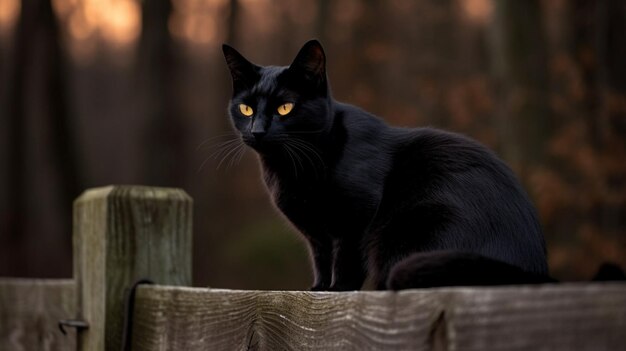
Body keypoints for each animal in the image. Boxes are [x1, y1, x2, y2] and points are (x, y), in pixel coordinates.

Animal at [222, 40, 548, 290]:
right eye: (246, 108)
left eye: (285, 108)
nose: (258, 130)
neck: (290, 167)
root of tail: (533, 271)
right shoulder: (316, 233)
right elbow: (321, 258)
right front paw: (318, 289)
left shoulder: (357, 216)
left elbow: (346, 258)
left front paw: (339, 290)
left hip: (411, 229)